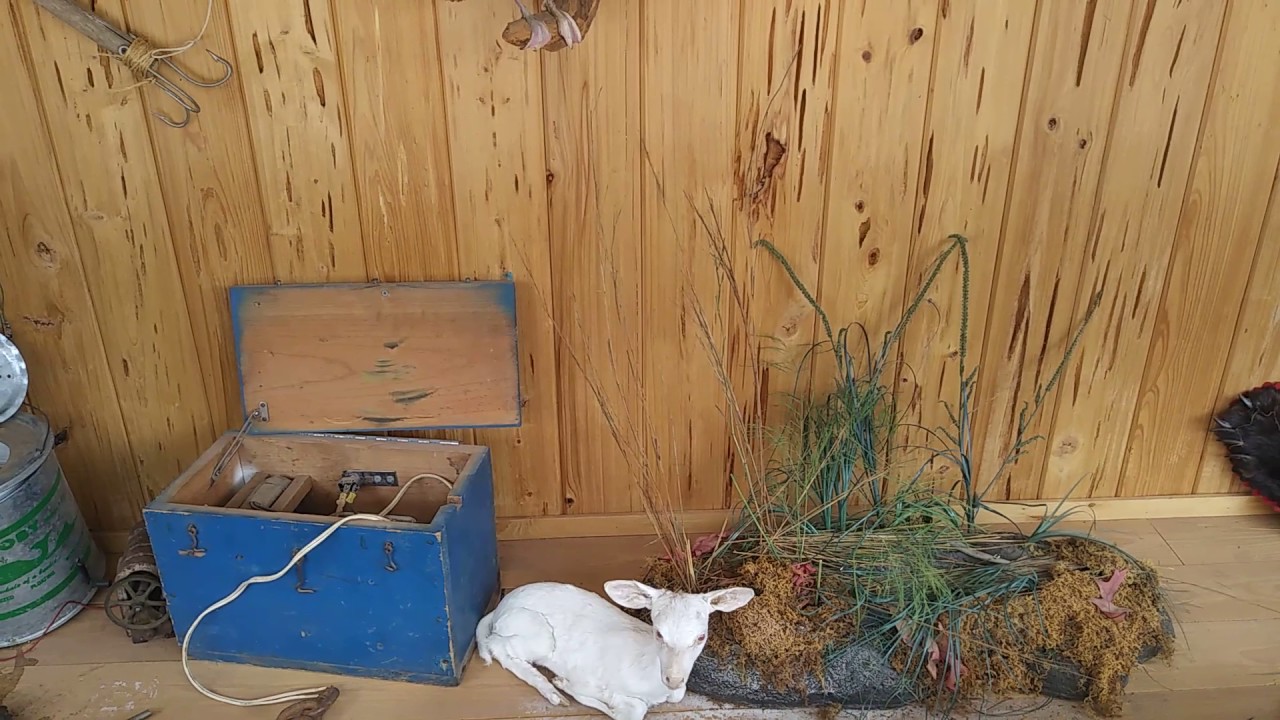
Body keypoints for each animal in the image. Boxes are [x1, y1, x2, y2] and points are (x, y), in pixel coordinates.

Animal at [475, 579, 755, 720]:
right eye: (658, 632)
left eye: (700, 637)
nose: (673, 678)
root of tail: (500, 608)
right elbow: (629, 710)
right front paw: (565, 684)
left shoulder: (677, 691)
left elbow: (674, 697)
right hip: (536, 634)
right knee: (497, 646)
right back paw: (552, 692)